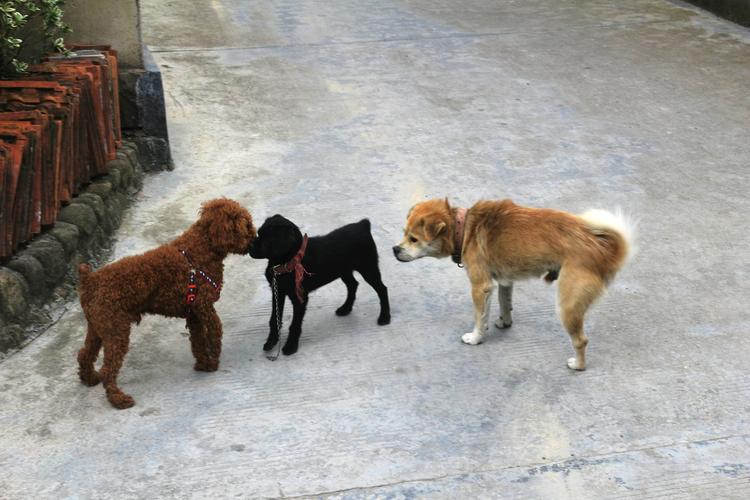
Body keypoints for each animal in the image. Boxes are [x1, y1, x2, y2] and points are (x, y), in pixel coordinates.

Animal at [251, 215, 394, 356]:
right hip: (344, 271)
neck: (289, 261)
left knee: (382, 289)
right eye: (259, 233)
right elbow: (273, 319)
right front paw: (271, 342)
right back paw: (345, 308)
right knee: (353, 285)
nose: (250, 246)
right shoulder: (278, 292)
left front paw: (291, 346)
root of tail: (363, 225)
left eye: (267, 239)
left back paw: (384, 317)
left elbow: (294, 324)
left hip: (368, 269)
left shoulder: (300, 298)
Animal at [394, 199, 636, 372]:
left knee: (581, 340)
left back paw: (578, 365)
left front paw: (476, 338)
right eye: (404, 233)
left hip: (567, 305)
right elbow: (504, 303)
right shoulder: (505, 281)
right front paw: (504, 321)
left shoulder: (480, 287)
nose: (394, 249)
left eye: (414, 239)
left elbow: (479, 316)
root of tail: (600, 249)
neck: (464, 229)